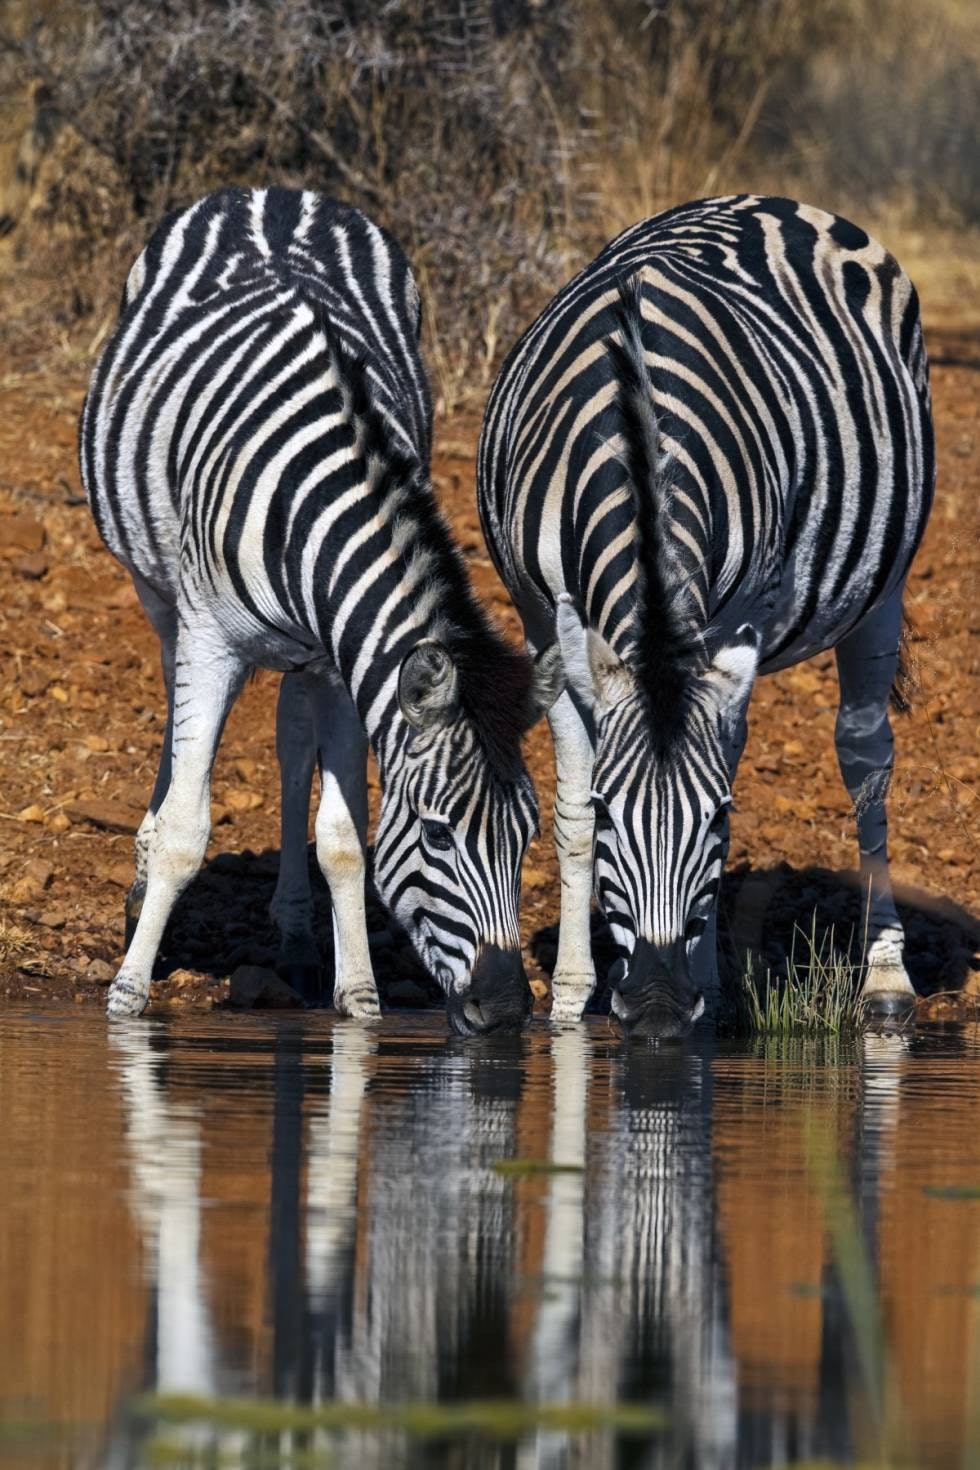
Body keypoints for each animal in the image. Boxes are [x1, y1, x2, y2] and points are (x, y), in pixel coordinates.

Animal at [80, 183, 564, 1034]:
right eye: (438, 836)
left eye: (528, 833)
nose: (506, 1009)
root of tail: (275, 190)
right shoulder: (210, 640)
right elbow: (185, 830)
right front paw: (129, 992)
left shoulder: (348, 660)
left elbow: (342, 837)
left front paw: (360, 995)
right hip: (159, 591)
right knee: (174, 718)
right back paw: (142, 883)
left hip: (305, 654)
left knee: (290, 738)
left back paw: (299, 936)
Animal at [478, 195, 940, 1040]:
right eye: (612, 815)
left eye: (720, 823)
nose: (659, 1008)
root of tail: (774, 201)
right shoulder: (542, 617)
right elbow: (567, 807)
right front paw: (571, 994)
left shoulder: (733, 617)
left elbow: (723, 764)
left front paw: (701, 990)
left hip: (882, 589)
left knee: (866, 764)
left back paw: (886, 981)